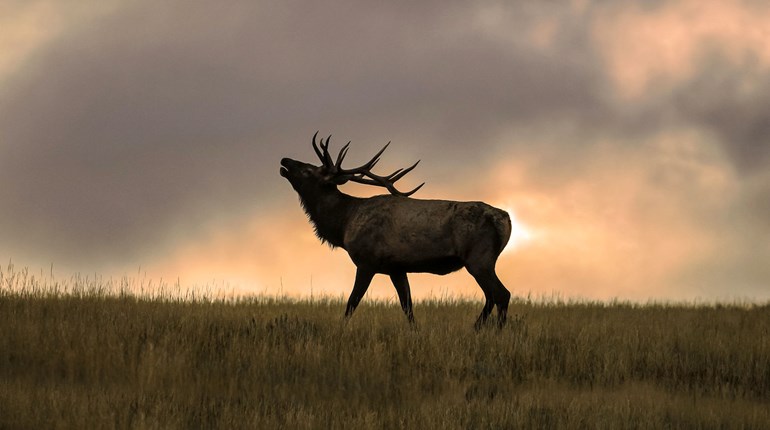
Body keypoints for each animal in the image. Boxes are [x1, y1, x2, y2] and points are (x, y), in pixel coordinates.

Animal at [280, 132, 512, 328]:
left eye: (308, 170)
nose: (284, 161)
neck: (344, 225)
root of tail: (505, 219)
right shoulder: (397, 268)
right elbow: (407, 305)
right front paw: (416, 331)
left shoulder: (367, 261)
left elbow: (352, 302)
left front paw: (341, 329)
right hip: (481, 261)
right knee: (491, 296)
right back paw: (476, 328)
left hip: (479, 258)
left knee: (502, 295)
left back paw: (496, 331)